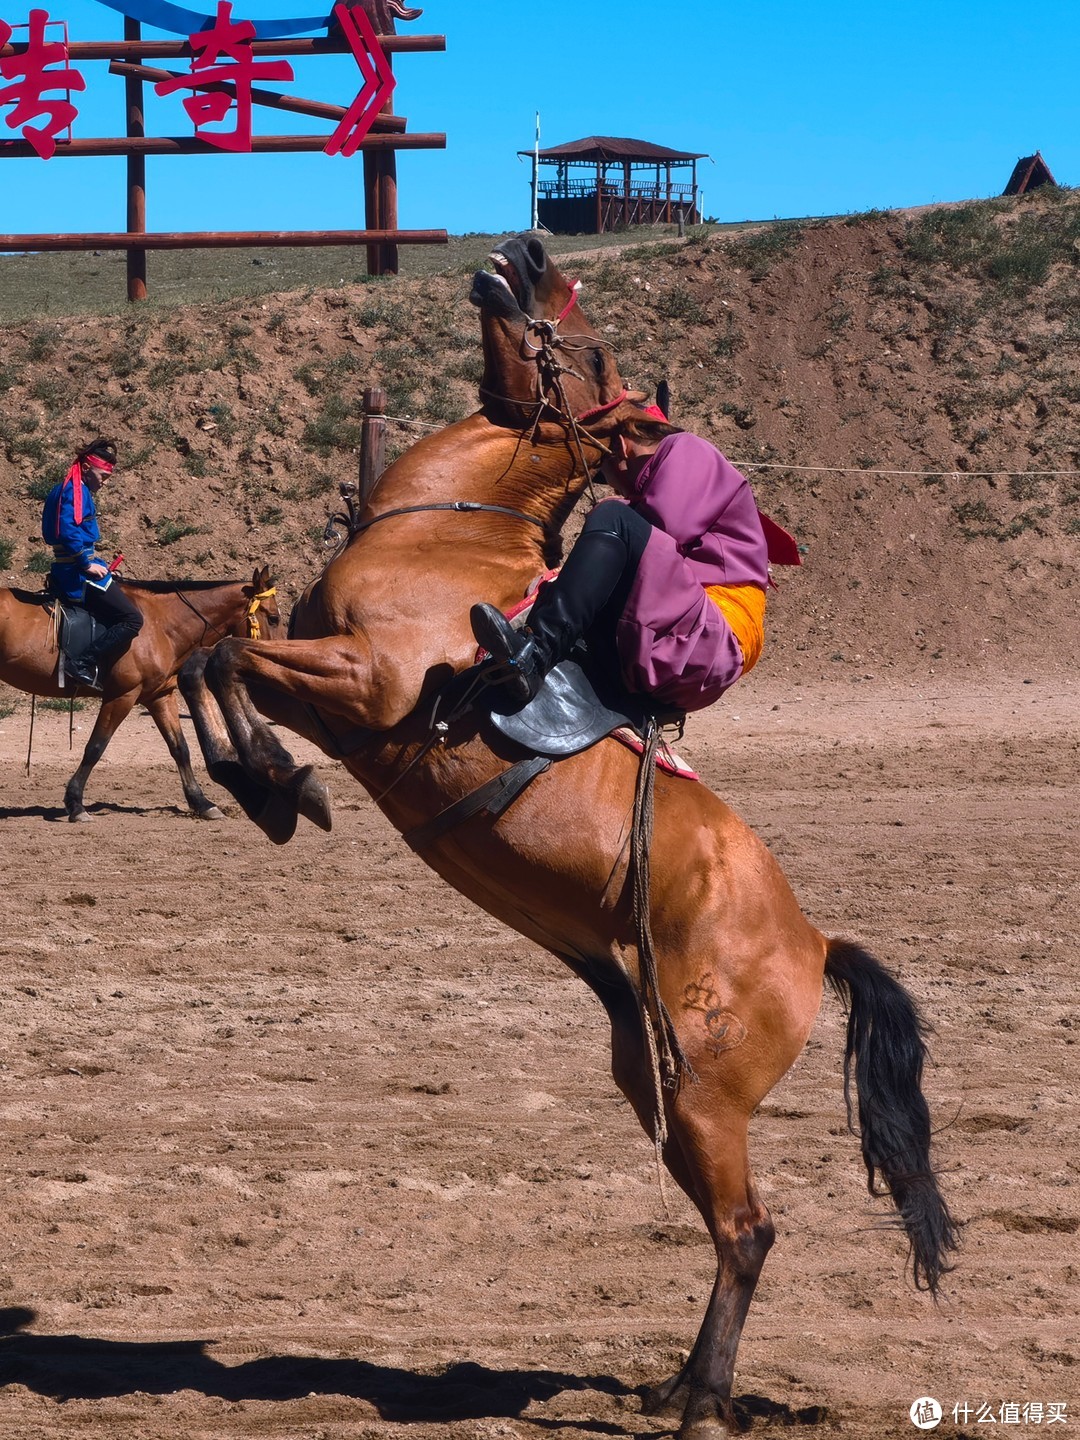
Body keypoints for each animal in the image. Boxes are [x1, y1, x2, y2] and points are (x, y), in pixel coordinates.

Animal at [1, 567, 279, 829]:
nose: (270, 661)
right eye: (274, 618)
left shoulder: (159, 696)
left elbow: (180, 748)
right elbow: (95, 748)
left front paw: (201, 802)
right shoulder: (122, 697)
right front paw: (75, 803)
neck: (161, 624)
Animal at [180, 239, 961, 1440]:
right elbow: (210, 659)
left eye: (587, 347)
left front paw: (275, 785)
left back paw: (703, 1401)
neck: (450, 531)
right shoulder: (320, 688)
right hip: (659, 1085)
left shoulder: (362, 683)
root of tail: (817, 944)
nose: (531, 251)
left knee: (750, 1231)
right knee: (733, 1229)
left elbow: (227, 659)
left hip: (707, 1098)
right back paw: (680, 1384)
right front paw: (258, 782)